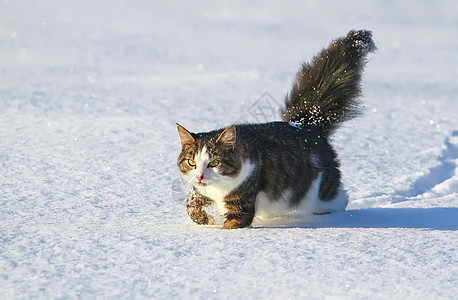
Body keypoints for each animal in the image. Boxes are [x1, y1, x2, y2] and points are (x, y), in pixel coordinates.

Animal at [176, 29, 376, 229]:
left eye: (215, 163)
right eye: (192, 162)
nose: (200, 177)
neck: (216, 190)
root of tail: (308, 124)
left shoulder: (242, 201)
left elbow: (232, 224)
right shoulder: (201, 192)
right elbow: (191, 206)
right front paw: (206, 221)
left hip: (320, 193)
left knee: (339, 198)